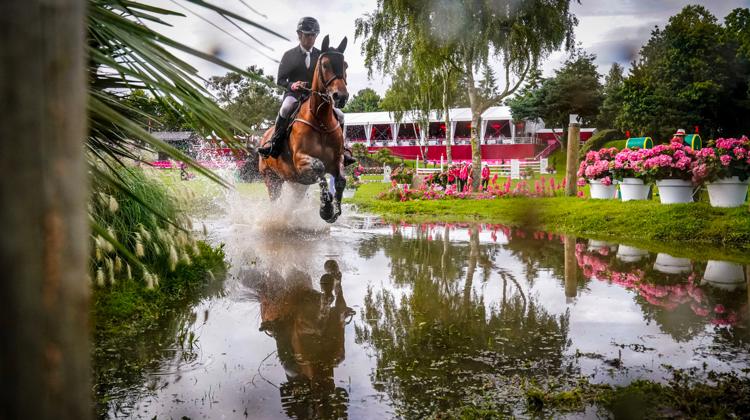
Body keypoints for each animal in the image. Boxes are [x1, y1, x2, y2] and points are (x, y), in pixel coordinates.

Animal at [258, 36, 352, 225]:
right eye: (325, 65)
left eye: (345, 65)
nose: (341, 97)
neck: (321, 121)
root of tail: (264, 135)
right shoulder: (301, 161)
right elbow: (319, 168)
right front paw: (326, 209)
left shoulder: (336, 161)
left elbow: (340, 180)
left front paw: (334, 210)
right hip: (272, 179)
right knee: (275, 200)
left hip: (297, 184)